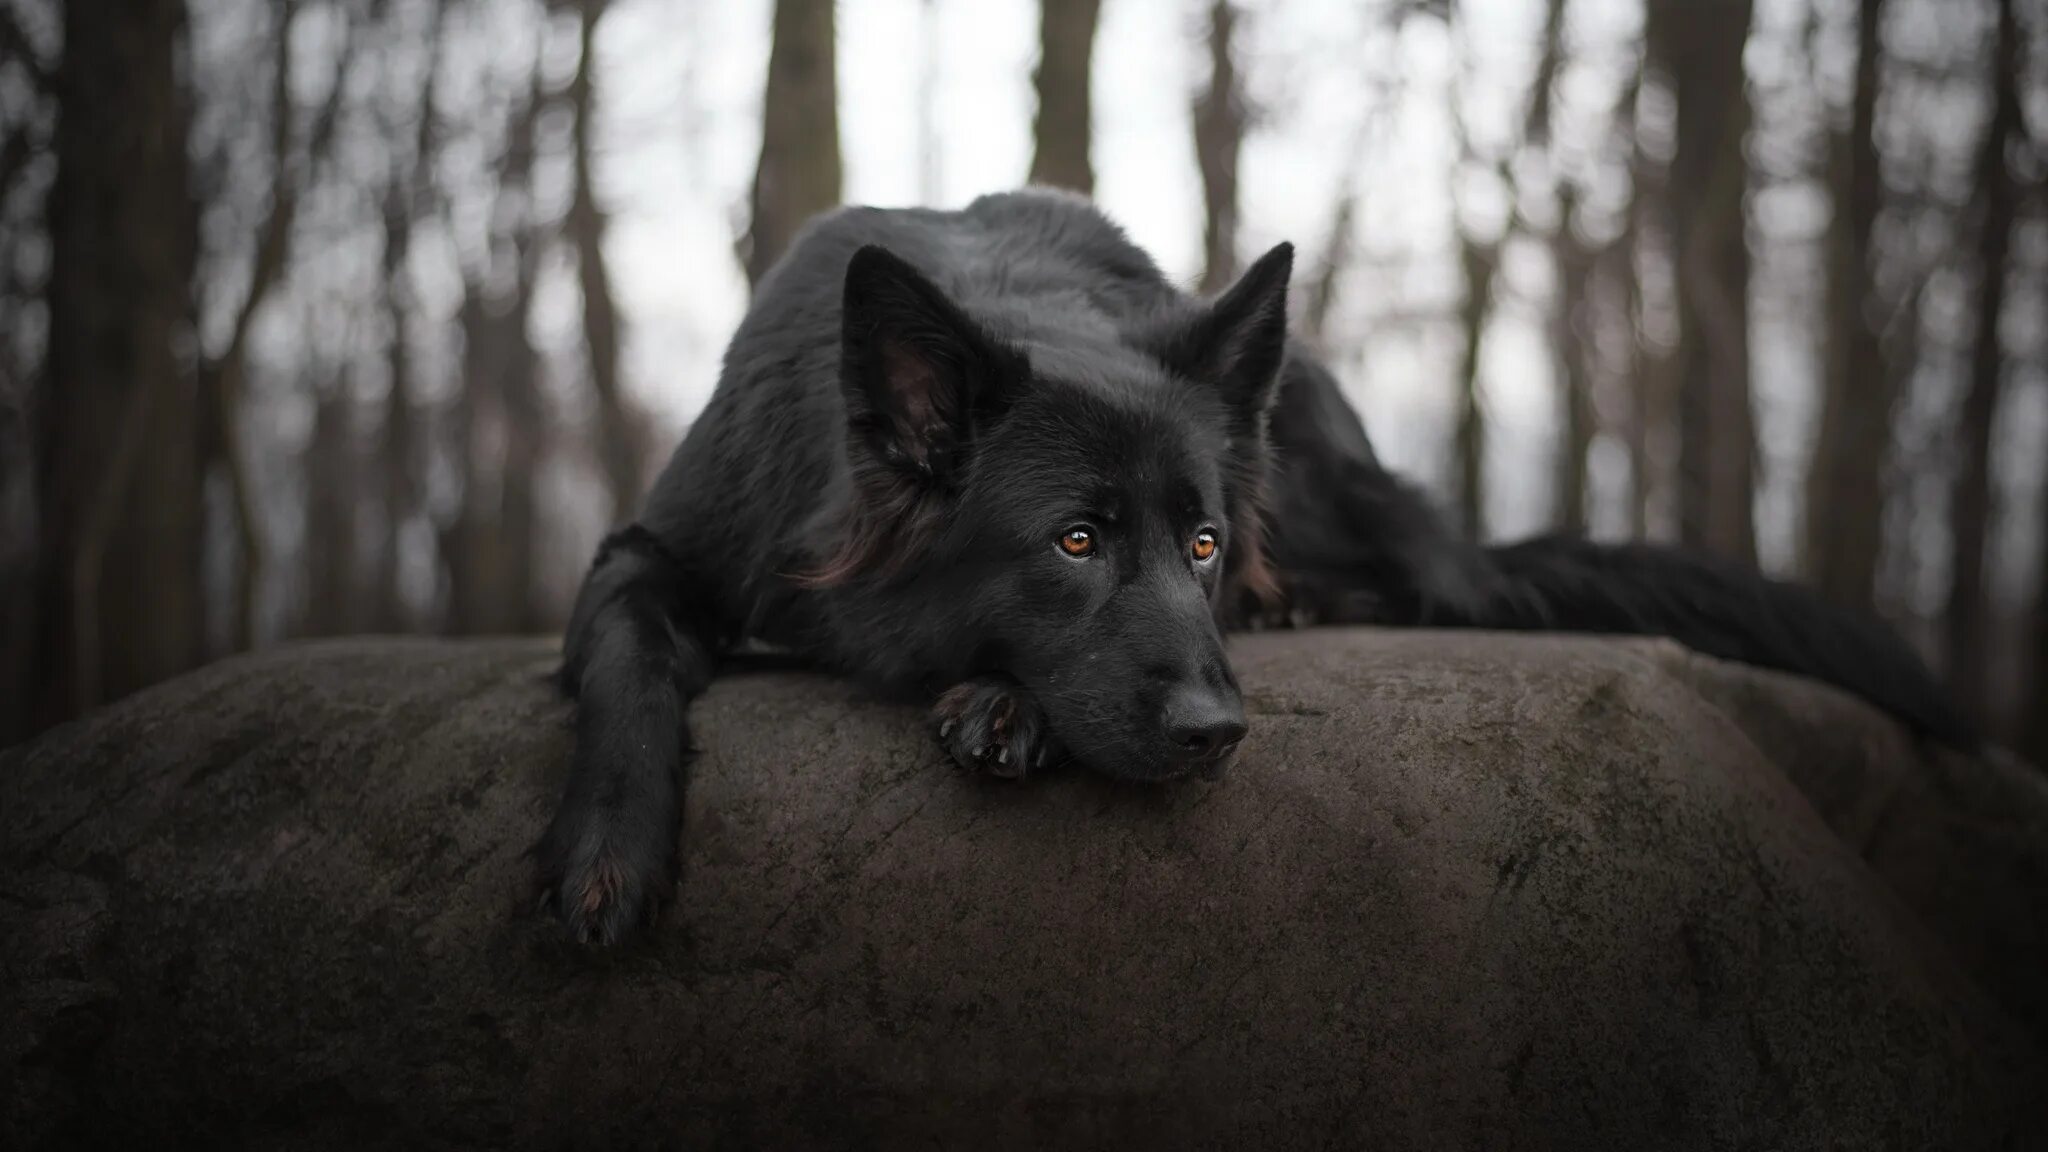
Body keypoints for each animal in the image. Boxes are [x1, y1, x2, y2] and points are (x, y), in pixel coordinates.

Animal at [532, 188, 1966, 942]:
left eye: (1203, 543)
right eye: (1075, 539)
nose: (1217, 734)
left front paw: (999, 702)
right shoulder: (653, 546)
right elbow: (622, 651)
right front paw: (607, 848)